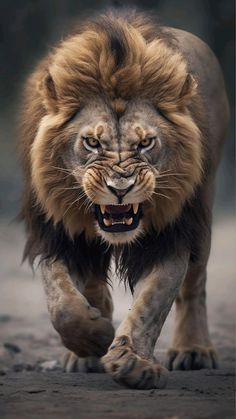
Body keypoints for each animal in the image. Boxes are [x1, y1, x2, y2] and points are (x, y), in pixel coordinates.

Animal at [18, 9, 229, 390]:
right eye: (92, 142)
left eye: (146, 143)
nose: (120, 187)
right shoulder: (56, 231)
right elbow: (61, 302)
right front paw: (95, 337)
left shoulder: (170, 235)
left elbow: (152, 304)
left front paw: (133, 363)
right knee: (90, 282)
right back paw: (86, 348)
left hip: (203, 207)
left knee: (195, 285)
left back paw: (193, 350)